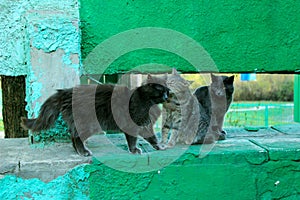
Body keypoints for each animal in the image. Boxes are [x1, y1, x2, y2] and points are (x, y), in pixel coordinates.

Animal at [21, 75, 169, 156]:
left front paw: (160, 147)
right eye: (160, 90)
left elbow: (153, 138)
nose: (167, 97)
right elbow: (133, 139)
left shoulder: (145, 125)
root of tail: (67, 92)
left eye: (167, 91)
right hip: (89, 124)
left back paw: (79, 150)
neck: (147, 102)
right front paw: (134, 150)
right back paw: (83, 152)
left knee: (73, 136)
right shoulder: (132, 124)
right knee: (76, 136)